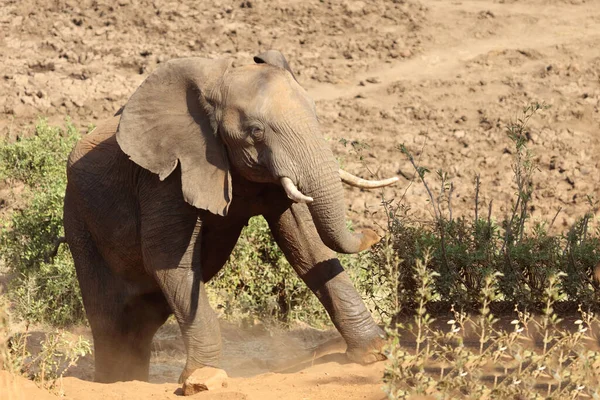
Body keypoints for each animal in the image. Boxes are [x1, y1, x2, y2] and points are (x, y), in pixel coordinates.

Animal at [64, 50, 398, 384]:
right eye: (256, 131)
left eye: (315, 116)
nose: (375, 233)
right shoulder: (165, 176)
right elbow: (166, 259)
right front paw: (203, 381)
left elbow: (305, 242)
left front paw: (374, 352)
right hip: (79, 222)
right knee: (109, 320)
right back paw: (113, 382)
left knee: (141, 321)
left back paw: (131, 380)